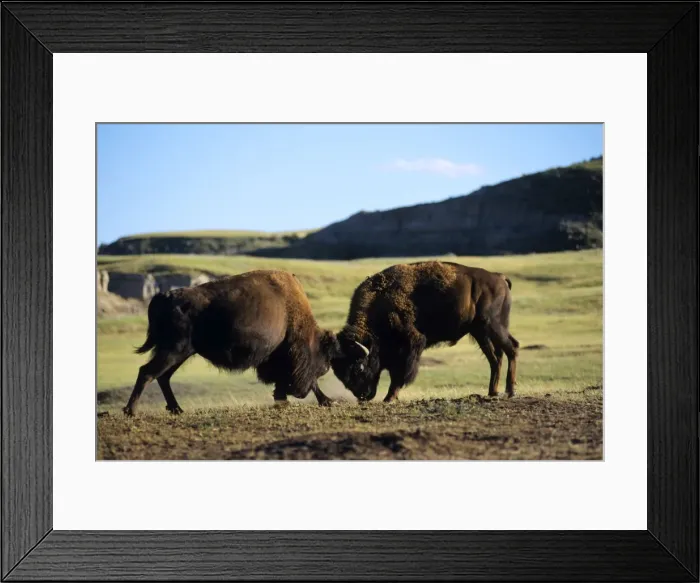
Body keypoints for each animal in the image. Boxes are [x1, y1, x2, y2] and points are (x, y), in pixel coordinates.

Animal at [123, 269, 341, 416]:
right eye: (323, 360)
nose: (300, 394)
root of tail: (163, 296)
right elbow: (305, 381)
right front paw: (325, 401)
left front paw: (287, 401)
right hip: (174, 351)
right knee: (147, 372)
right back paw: (131, 411)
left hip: (180, 354)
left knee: (162, 377)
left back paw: (176, 409)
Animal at [330, 261, 520, 403]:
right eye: (341, 375)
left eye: (359, 368)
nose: (362, 396)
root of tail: (499, 277)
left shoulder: (409, 345)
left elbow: (399, 374)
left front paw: (390, 398)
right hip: (481, 333)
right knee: (495, 358)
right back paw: (492, 392)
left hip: (493, 325)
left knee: (511, 348)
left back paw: (509, 392)